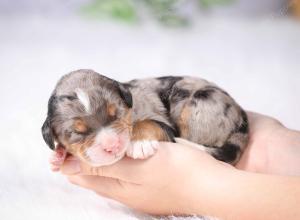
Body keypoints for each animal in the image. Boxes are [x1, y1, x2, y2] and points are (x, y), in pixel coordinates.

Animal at [41, 69, 248, 169]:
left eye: (116, 113)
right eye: (77, 132)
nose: (112, 145)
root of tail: (241, 115)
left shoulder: (163, 123)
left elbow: (147, 122)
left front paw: (139, 144)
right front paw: (58, 156)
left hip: (196, 105)